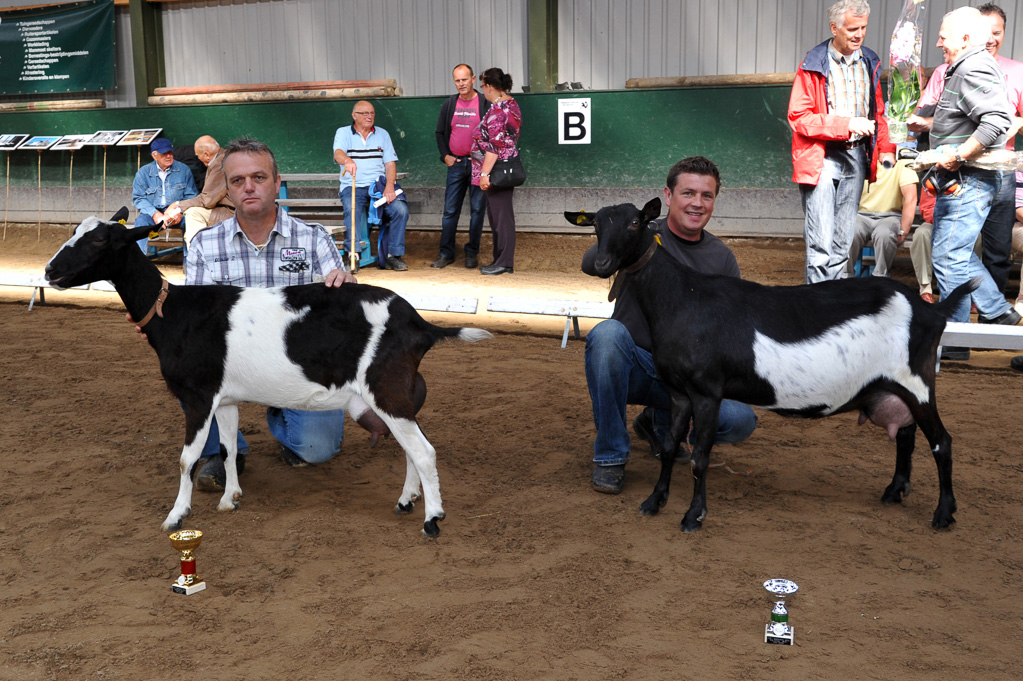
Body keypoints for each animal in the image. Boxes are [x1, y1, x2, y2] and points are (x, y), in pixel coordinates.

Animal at [46, 210, 493, 535]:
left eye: (100, 239)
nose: (50, 272)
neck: (172, 311)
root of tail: (420, 324)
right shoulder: (224, 399)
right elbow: (227, 447)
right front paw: (230, 498)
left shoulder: (197, 396)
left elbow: (186, 457)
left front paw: (176, 516)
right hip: (394, 396)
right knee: (411, 448)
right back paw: (406, 501)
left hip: (387, 389)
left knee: (424, 451)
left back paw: (432, 519)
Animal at [568, 199, 973, 531]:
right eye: (595, 225)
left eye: (635, 223)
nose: (601, 264)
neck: (684, 299)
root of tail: (931, 310)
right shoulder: (678, 391)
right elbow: (669, 447)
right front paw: (654, 501)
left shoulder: (707, 391)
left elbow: (700, 457)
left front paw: (693, 516)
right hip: (893, 388)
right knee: (905, 434)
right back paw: (894, 491)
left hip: (917, 382)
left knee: (941, 441)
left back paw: (943, 514)